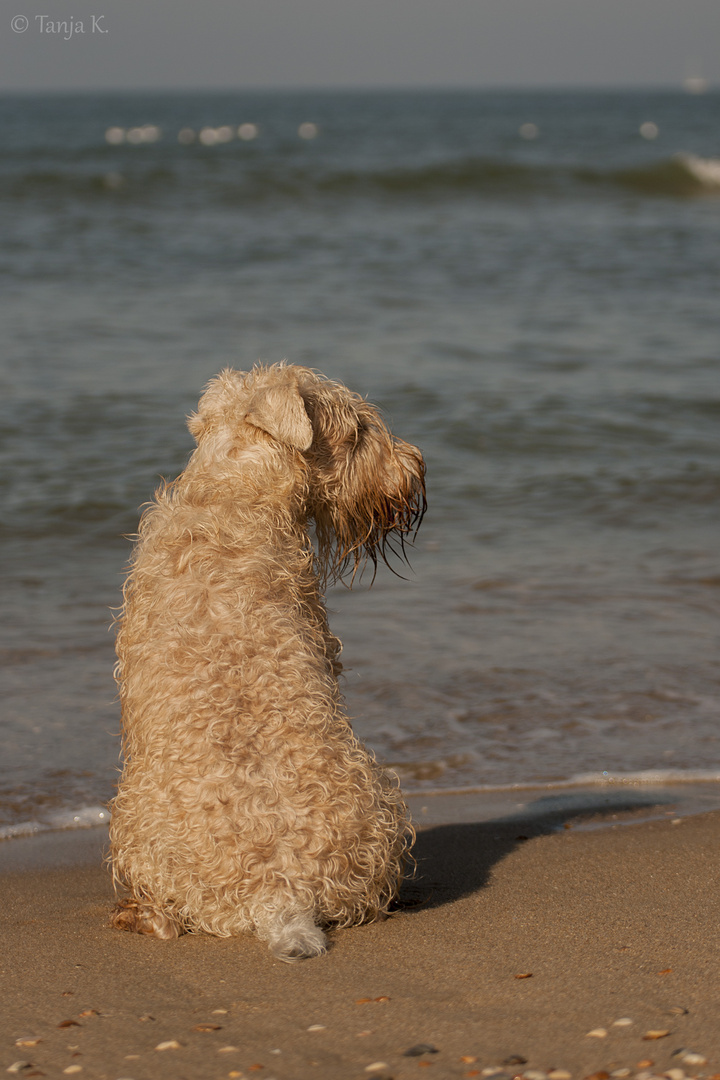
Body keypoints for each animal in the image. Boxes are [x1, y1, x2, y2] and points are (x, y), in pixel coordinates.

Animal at [109, 365, 425, 963]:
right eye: (359, 429)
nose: (414, 467)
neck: (236, 492)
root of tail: (280, 894)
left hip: (131, 824)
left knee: (163, 915)